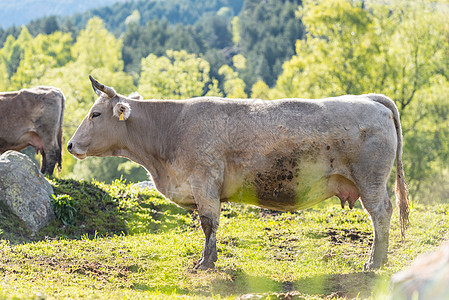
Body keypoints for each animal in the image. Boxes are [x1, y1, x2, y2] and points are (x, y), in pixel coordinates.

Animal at [68, 75, 408, 270]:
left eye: (95, 114)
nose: (70, 145)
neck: (170, 129)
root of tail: (369, 98)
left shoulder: (204, 182)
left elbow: (208, 224)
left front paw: (206, 262)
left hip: (370, 180)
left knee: (380, 213)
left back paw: (374, 261)